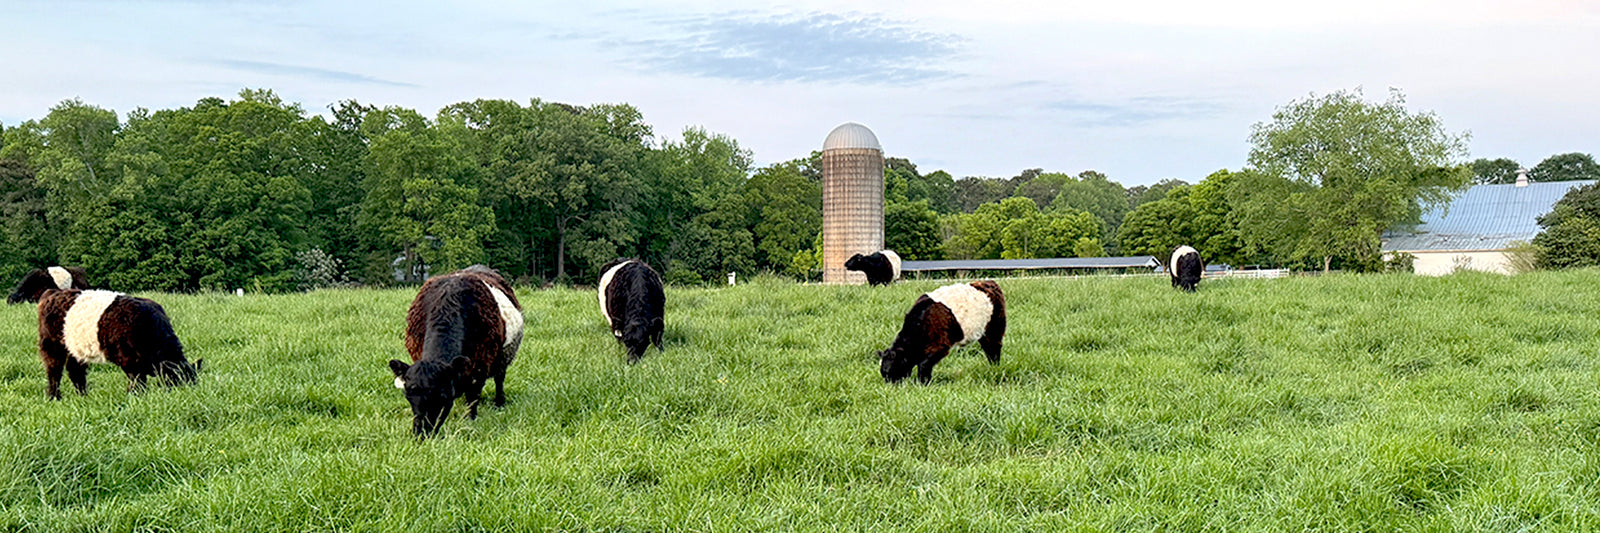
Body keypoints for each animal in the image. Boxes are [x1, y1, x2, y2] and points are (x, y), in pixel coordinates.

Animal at [37, 289, 199, 399]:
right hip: (52, 344)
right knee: (54, 370)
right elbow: (137, 380)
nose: (186, 396)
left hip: (76, 348)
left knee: (75, 370)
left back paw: (83, 395)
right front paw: (135, 397)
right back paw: (54, 397)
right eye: (177, 380)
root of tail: (52, 293)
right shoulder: (129, 360)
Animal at [388, 265, 523, 437]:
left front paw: (471, 418)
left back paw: (499, 402)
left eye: (443, 396)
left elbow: (473, 395)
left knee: (499, 378)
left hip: (503, 356)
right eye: (408, 396)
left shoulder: (481, 364)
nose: (422, 433)